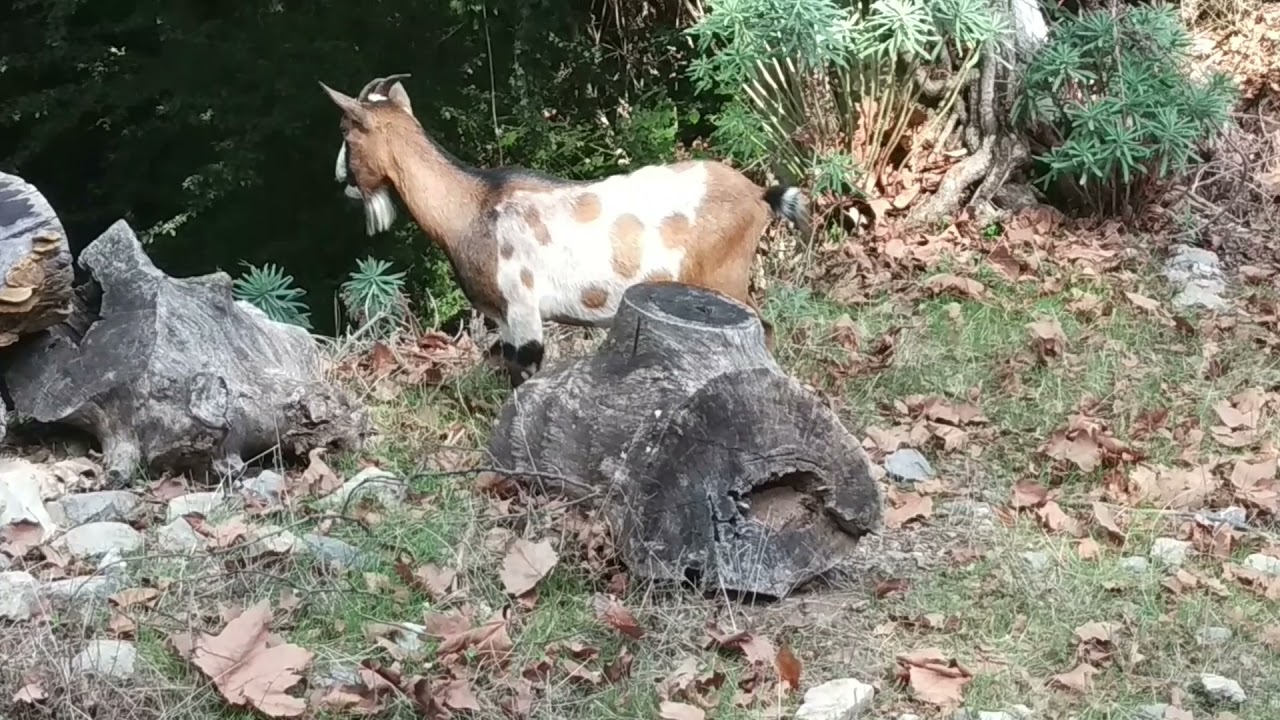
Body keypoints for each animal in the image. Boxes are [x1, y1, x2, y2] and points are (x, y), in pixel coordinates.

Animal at [320, 74, 810, 387]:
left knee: (763, 328)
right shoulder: (503, 318)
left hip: (723, 280)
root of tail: (758, 195)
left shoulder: (522, 308)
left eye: (346, 130)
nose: (340, 178)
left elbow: (523, 373)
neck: (473, 206)